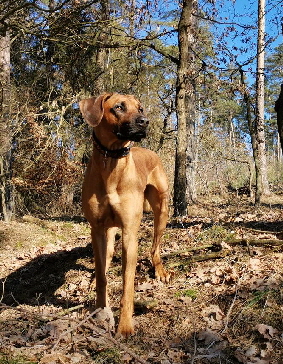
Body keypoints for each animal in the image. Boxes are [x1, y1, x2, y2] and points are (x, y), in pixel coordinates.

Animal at [79, 92, 170, 336]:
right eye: (119, 107)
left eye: (140, 108)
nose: (145, 122)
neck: (111, 162)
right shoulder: (97, 229)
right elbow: (102, 276)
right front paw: (101, 311)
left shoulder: (130, 232)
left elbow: (127, 284)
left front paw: (125, 325)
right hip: (108, 231)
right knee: (107, 256)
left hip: (162, 209)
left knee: (155, 247)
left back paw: (160, 269)